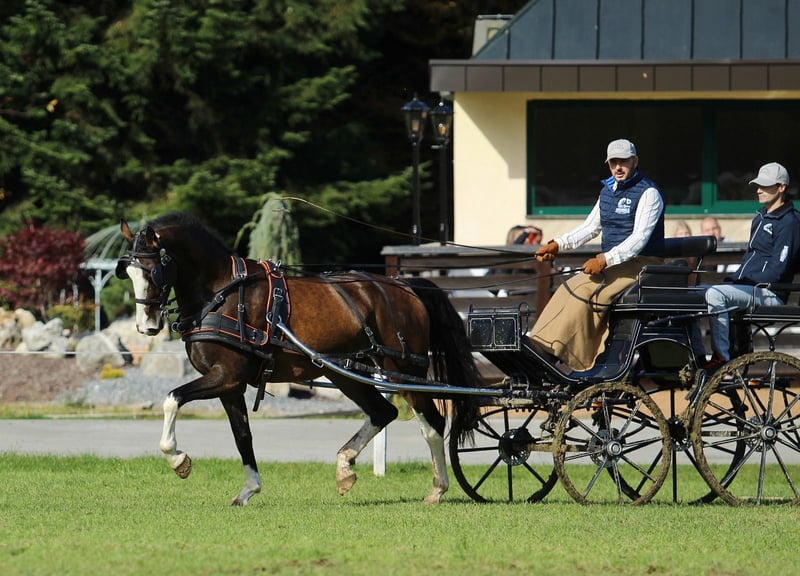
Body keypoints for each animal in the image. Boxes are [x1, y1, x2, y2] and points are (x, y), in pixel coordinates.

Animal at [116, 212, 481, 505]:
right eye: (128, 272)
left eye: (153, 270)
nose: (147, 325)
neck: (222, 294)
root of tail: (404, 287)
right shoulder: (231, 386)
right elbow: (242, 435)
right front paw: (249, 489)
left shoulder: (225, 376)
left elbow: (172, 398)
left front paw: (178, 459)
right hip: (345, 373)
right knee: (383, 412)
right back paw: (345, 467)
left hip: (402, 368)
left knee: (432, 424)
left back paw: (437, 489)